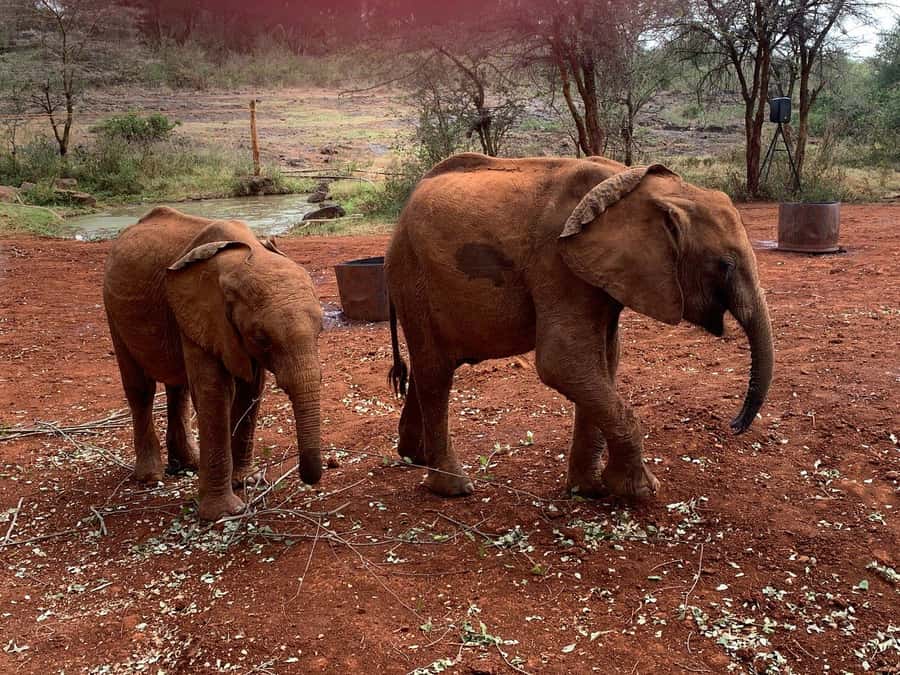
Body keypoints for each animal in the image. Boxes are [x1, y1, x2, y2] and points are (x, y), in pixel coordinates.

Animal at [103, 206, 323, 520]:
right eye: (262, 338)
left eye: (320, 331)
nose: (309, 477)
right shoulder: (201, 314)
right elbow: (214, 391)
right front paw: (224, 513)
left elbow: (251, 388)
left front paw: (248, 481)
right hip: (113, 310)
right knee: (140, 389)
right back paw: (150, 477)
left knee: (178, 387)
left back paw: (189, 464)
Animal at [385, 153, 774, 499]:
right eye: (725, 265)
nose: (734, 425)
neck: (639, 188)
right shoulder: (557, 262)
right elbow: (563, 362)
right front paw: (641, 492)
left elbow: (603, 361)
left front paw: (588, 491)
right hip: (412, 276)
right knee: (436, 374)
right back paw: (454, 489)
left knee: (427, 368)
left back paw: (413, 456)